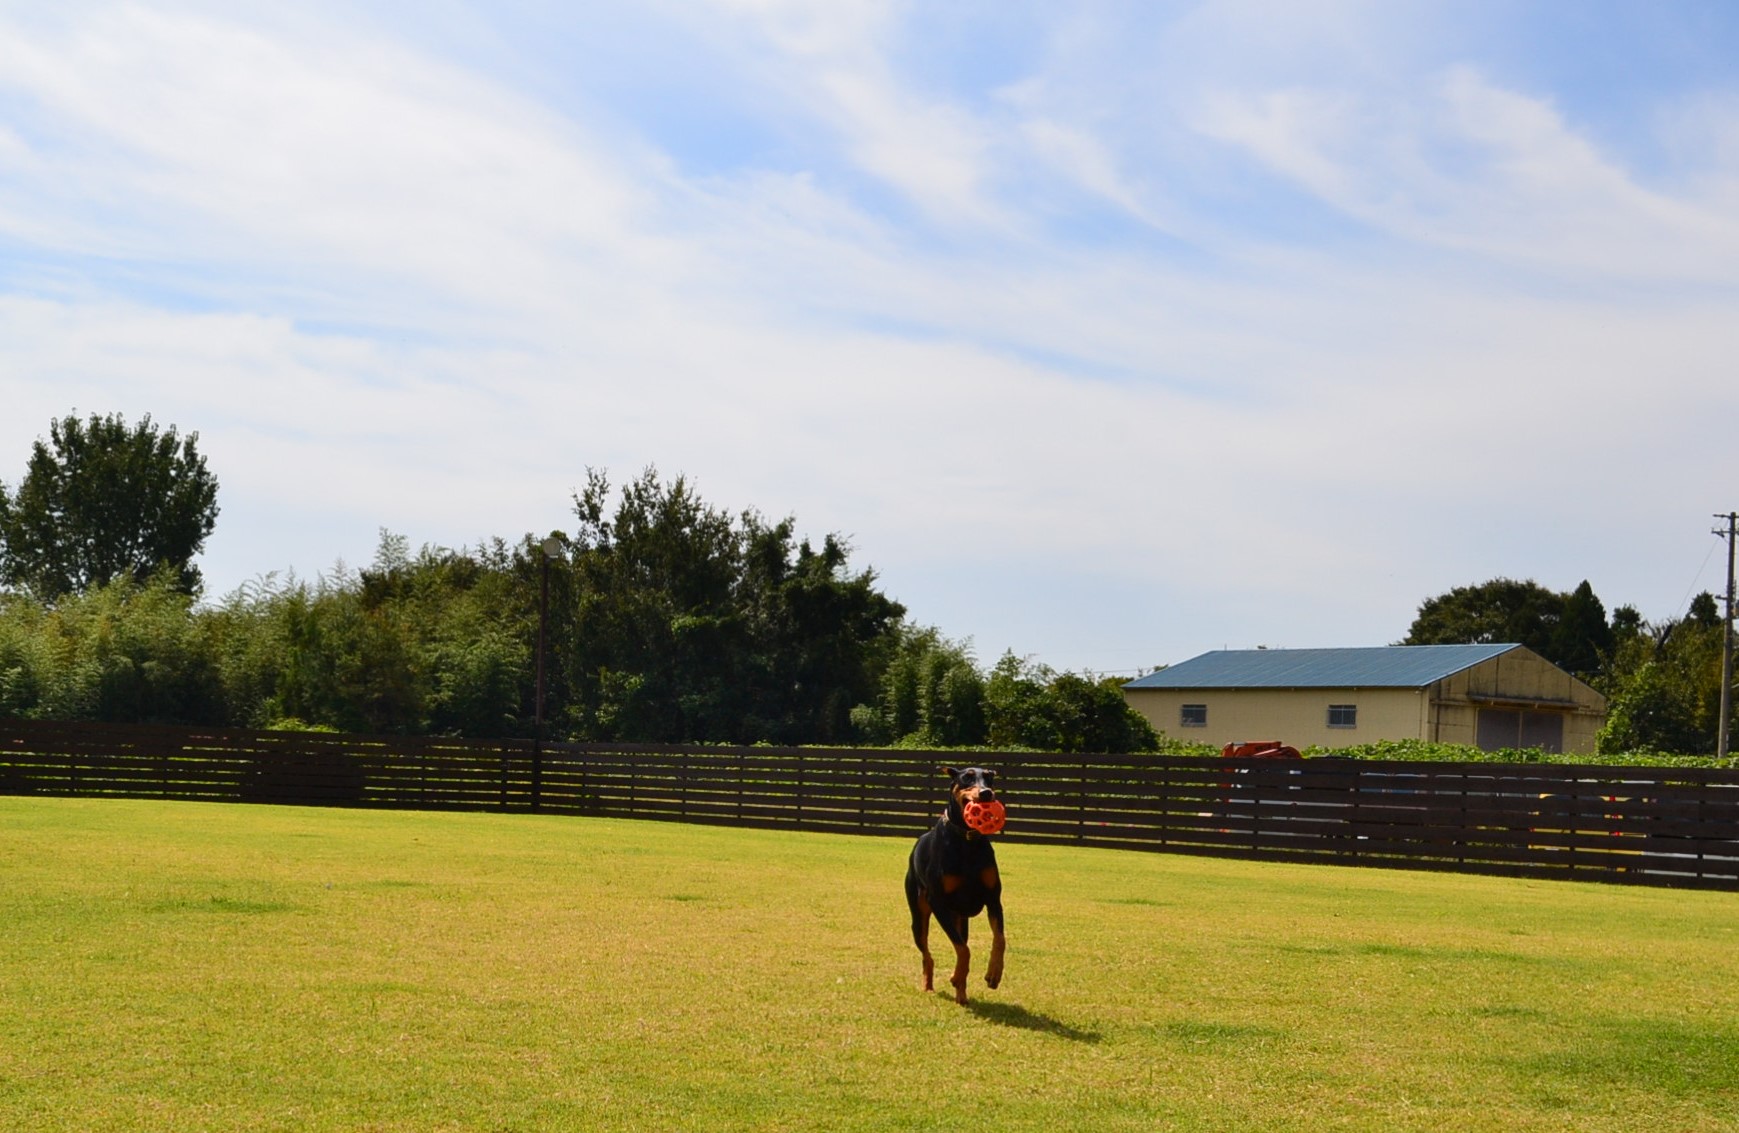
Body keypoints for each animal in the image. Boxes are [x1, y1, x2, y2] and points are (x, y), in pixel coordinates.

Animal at [911, 764, 1008, 1007]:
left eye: (989, 779)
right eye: (967, 778)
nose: (986, 793)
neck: (966, 839)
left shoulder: (994, 899)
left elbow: (1000, 939)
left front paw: (994, 974)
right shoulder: (939, 903)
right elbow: (964, 950)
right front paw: (956, 976)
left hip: (961, 919)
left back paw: (961, 995)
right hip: (919, 916)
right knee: (927, 954)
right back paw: (930, 986)